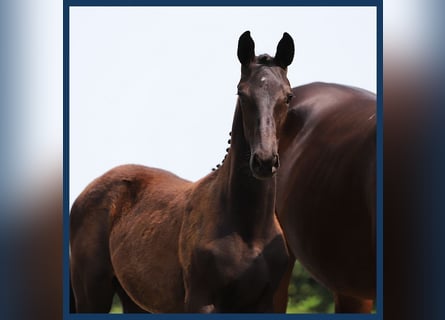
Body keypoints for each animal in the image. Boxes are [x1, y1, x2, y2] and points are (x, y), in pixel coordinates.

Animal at [69, 31, 294, 312]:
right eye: (242, 93)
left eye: (288, 96)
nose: (264, 161)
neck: (248, 230)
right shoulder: (201, 300)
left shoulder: (267, 302)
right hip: (91, 294)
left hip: (132, 297)